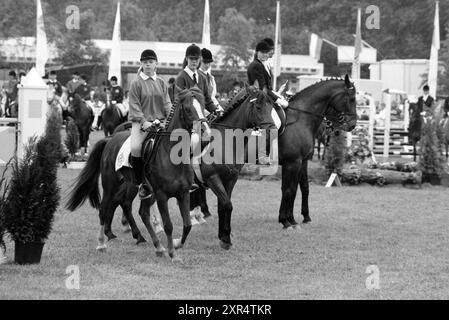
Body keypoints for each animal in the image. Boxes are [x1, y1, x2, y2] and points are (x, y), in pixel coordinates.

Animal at [66, 87, 208, 260]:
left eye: (202, 106)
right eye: (188, 109)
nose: (204, 131)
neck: (171, 155)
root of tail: (110, 139)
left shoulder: (183, 193)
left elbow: (187, 225)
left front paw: (174, 245)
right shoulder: (162, 196)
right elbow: (168, 225)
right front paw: (173, 254)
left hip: (138, 189)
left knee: (141, 212)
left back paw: (155, 245)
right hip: (111, 185)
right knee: (104, 209)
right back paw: (101, 243)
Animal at [186, 86, 274, 249]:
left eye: (271, 107)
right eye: (258, 107)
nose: (272, 130)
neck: (226, 142)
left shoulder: (231, 179)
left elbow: (223, 206)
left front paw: (223, 236)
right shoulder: (213, 179)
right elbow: (227, 205)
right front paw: (225, 239)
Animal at [276, 75, 356, 228]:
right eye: (352, 98)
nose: (352, 125)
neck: (301, 118)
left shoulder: (301, 162)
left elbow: (300, 188)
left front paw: (299, 218)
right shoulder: (292, 163)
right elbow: (289, 190)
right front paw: (285, 221)